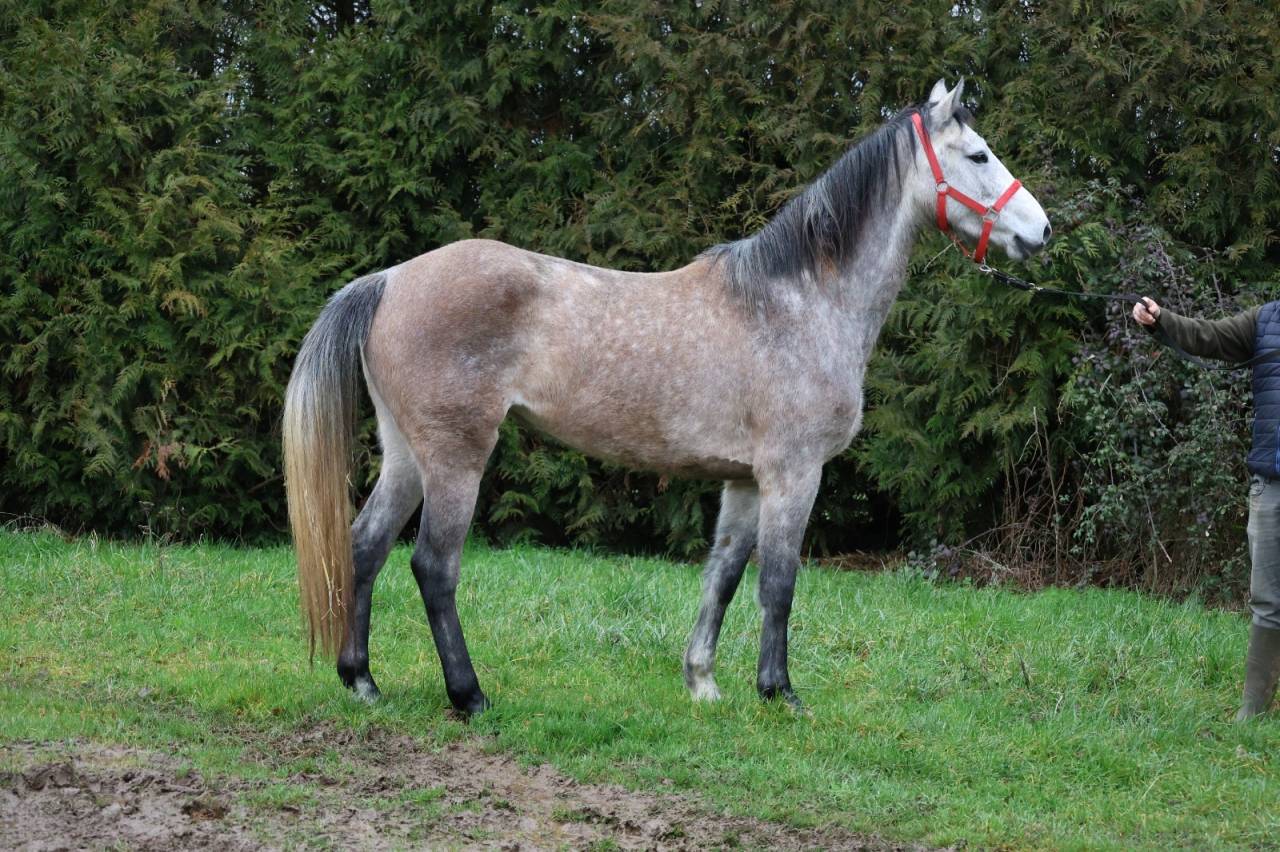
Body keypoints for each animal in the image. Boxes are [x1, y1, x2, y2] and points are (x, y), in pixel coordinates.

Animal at [283, 79, 1051, 715]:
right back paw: (469, 696)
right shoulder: (794, 473)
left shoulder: (744, 481)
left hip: (406, 455)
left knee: (365, 548)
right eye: (978, 154)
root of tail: (389, 279)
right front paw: (780, 693)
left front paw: (702, 682)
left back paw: (362, 681)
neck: (799, 301)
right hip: (455, 457)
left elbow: (724, 576)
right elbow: (779, 583)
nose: (1041, 231)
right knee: (433, 566)